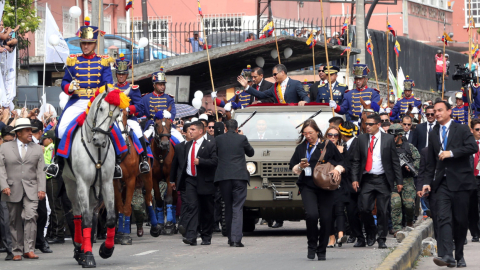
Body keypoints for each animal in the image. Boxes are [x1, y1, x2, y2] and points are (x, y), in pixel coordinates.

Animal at [62, 87, 130, 268]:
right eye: (101, 109)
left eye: (118, 113)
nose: (99, 139)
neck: (96, 149)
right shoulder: (82, 184)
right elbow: (85, 220)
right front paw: (88, 256)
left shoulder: (107, 183)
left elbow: (111, 218)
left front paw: (106, 250)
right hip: (71, 186)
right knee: (77, 215)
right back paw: (80, 249)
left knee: (92, 214)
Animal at [114, 109, 161, 245]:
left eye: (126, 115)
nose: (122, 137)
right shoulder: (115, 181)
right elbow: (120, 207)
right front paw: (120, 234)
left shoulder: (130, 180)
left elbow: (126, 208)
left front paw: (125, 235)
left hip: (147, 177)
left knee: (148, 199)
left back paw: (155, 228)